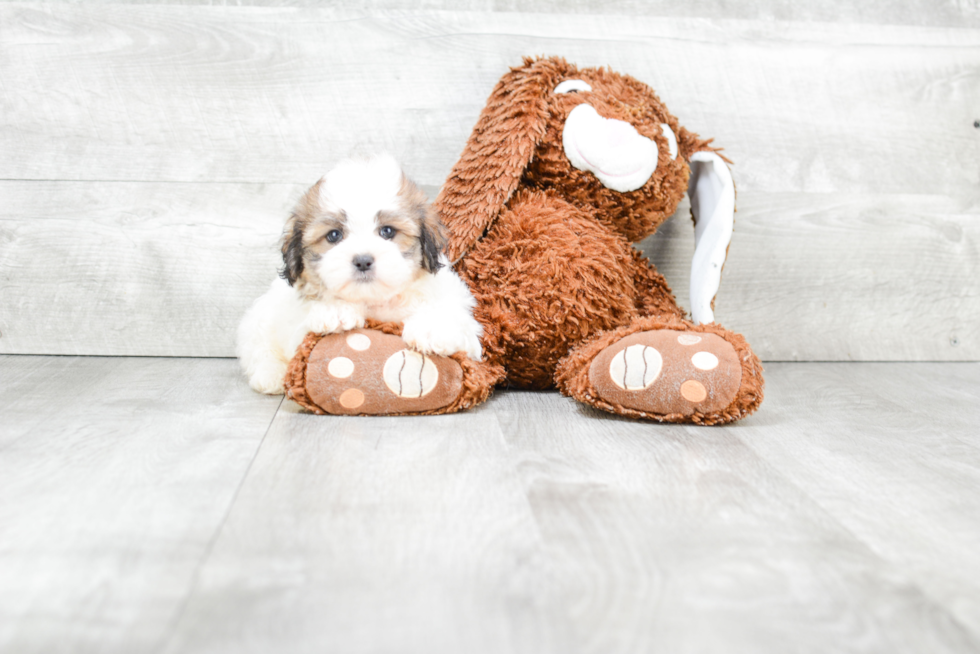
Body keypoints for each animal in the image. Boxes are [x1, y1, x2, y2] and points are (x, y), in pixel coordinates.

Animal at [237, 155, 482, 394]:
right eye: (334, 235)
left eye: (387, 231)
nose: (363, 260)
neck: (374, 300)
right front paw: (335, 310)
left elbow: (453, 317)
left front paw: (433, 328)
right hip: (260, 320)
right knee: (259, 349)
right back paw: (270, 375)